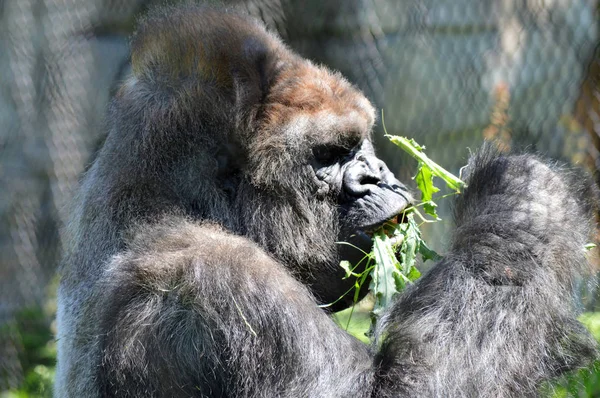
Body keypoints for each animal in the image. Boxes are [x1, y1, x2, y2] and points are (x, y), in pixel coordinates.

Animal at [55, 3, 596, 398]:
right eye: (330, 156)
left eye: (359, 146)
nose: (379, 175)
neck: (158, 200)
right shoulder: (215, 278)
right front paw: (522, 205)